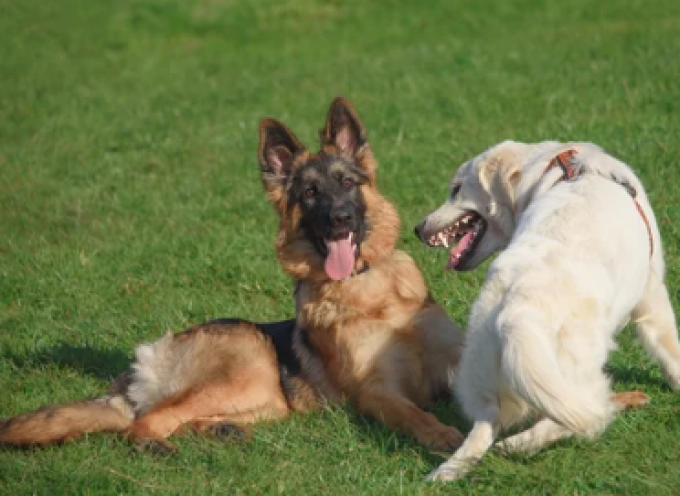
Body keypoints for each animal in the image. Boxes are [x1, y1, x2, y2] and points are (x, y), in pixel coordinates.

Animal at [0, 96, 464, 454]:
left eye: (347, 183)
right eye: (309, 193)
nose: (339, 219)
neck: (369, 290)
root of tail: (146, 360)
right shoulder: (376, 391)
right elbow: (413, 414)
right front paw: (443, 434)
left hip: (266, 400)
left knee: (180, 418)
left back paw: (219, 431)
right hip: (249, 365)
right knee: (144, 421)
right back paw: (154, 445)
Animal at [414, 141, 680, 482]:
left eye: (456, 189)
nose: (418, 228)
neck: (553, 169)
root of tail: (515, 314)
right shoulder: (652, 298)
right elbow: (671, 353)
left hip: (483, 374)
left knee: (484, 429)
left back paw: (453, 470)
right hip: (580, 376)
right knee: (580, 418)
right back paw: (519, 444)